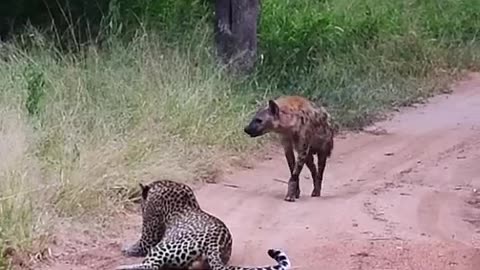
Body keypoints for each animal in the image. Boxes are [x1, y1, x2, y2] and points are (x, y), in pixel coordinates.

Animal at [115, 179, 292, 270]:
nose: (140, 208)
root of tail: (215, 244)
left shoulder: (149, 237)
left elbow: (139, 245)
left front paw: (124, 248)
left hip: (161, 248)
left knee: (149, 266)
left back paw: (121, 268)